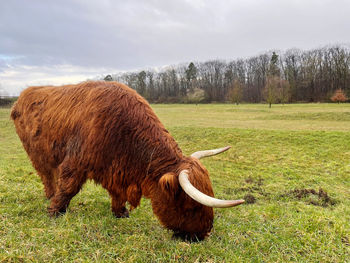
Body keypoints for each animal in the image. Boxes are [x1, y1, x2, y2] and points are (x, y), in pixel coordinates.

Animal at [11, 81, 246, 242]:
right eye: (191, 207)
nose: (202, 235)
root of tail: (25, 93)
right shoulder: (76, 161)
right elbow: (68, 187)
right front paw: (55, 212)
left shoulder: (116, 170)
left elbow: (117, 194)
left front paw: (120, 213)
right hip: (37, 153)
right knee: (46, 174)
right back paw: (50, 196)